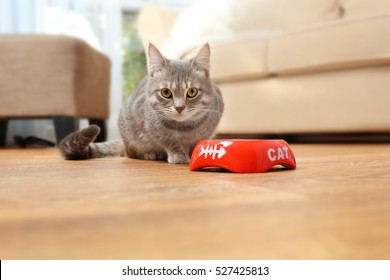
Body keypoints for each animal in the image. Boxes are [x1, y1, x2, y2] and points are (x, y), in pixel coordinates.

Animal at [58, 42, 224, 163]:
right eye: (166, 92)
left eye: (192, 92)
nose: (179, 107)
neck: (184, 128)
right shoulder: (149, 125)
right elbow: (168, 141)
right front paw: (178, 155)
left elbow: (198, 141)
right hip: (130, 137)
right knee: (131, 153)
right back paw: (149, 154)